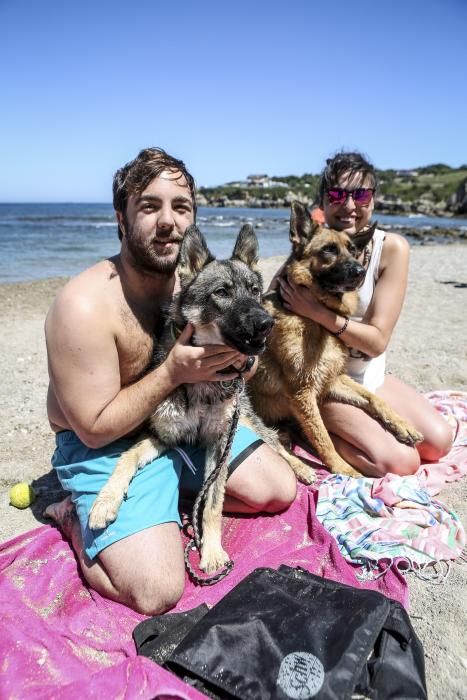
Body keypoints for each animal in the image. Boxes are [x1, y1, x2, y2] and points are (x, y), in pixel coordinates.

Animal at [249, 200, 424, 478]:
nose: (360, 271)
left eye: (352, 250)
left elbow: (374, 398)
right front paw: (344, 469)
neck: (315, 320)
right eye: (329, 250)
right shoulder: (302, 392)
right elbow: (324, 437)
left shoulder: (331, 380)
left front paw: (401, 423)